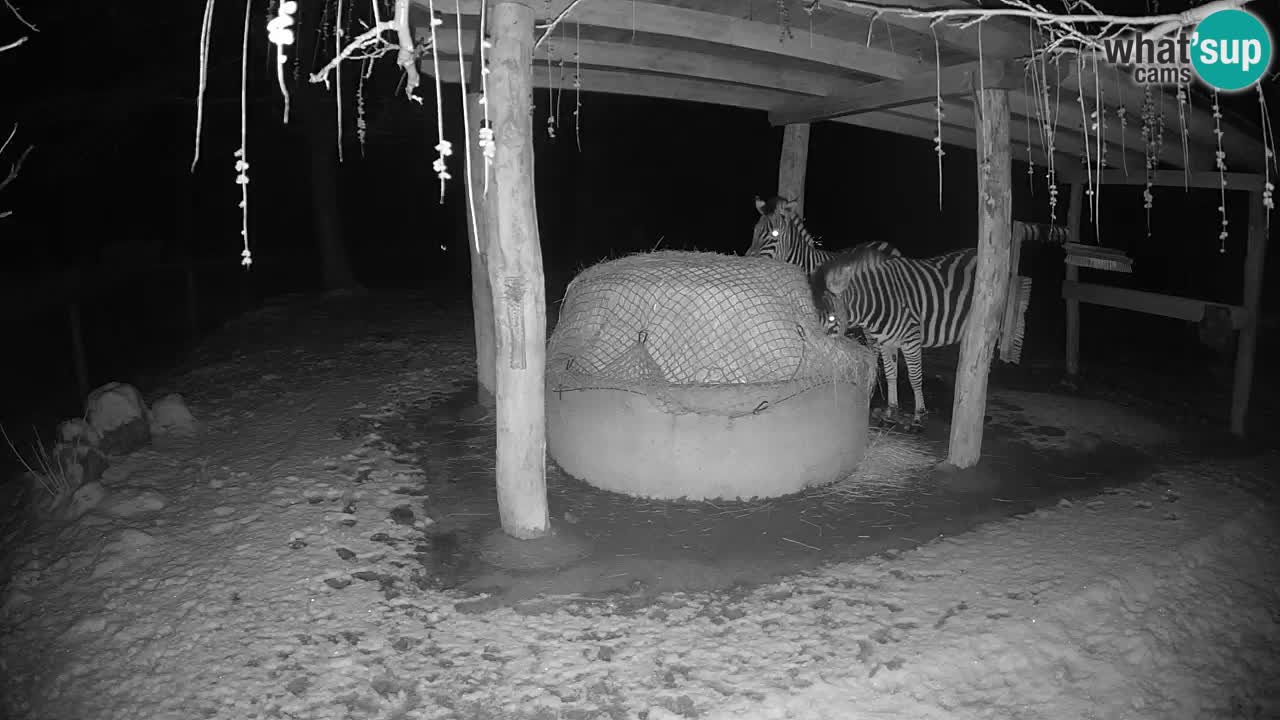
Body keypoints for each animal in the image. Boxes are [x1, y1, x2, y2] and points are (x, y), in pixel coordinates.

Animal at [808, 240, 977, 430]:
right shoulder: (886, 342)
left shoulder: (911, 340)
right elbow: (890, 374)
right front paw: (890, 412)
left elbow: (915, 377)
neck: (878, 301)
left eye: (831, 318)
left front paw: (918, 416)